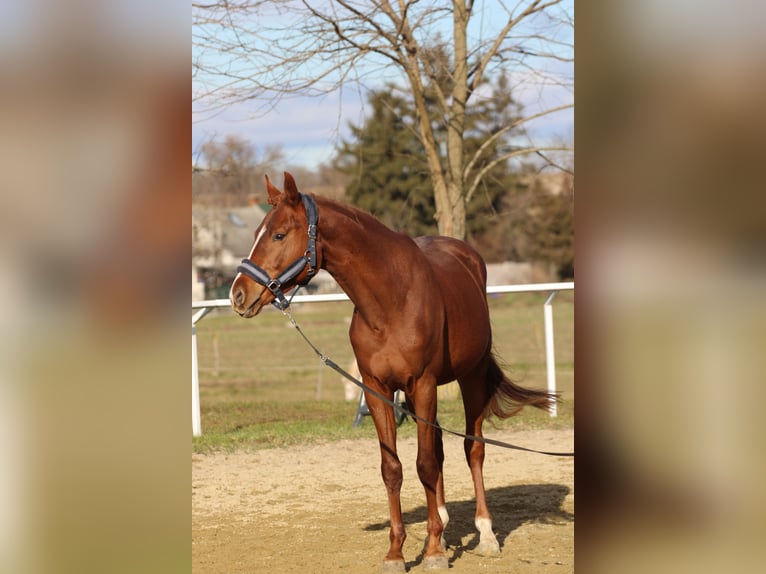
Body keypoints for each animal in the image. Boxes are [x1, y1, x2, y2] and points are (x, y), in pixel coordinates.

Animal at [231, 173, 556, 572]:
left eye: (278, 235)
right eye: (257, 232)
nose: (238, 295)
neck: (390, 301)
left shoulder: (424, 384)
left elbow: (426, 464)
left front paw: (432, 553)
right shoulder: (378, 390)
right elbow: (394, 468)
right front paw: (397, 552)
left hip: (471, 377)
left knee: (473, 448)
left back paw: (485, 533)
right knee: (440, 447)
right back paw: (442, 524)